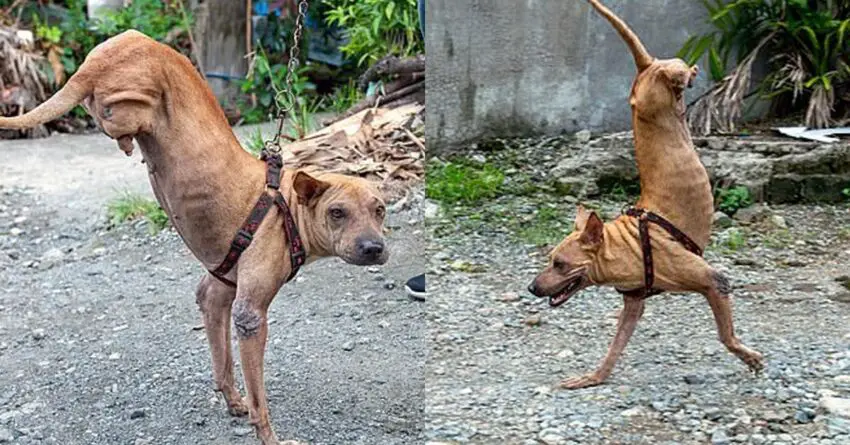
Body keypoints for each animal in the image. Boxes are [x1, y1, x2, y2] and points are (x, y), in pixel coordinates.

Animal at [528, 0, 764, 388]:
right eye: (550, 260)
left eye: (559, 264)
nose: (532, 287)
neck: (626, 246)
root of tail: (645, 68)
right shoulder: (633, 304)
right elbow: (614, 348)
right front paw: (593, 377)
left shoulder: (714, 282)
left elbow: (725, 334)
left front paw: (749, 356)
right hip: (651, 94)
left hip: (660, 84)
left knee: (676, 68)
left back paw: (690, 72)